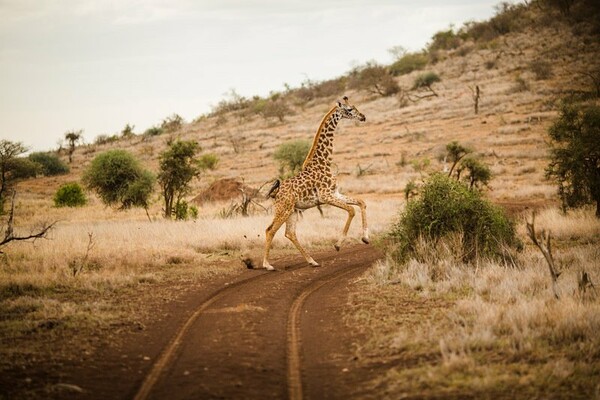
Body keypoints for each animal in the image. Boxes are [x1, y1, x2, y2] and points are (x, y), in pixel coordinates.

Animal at [264, 97, 368, 272]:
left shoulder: (334, 193)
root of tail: (276, 192)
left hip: (292, 211)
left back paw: (312, 261)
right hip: (283, 210)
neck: (324, 162)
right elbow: (351, 210)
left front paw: (366, 238)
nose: (363, 117)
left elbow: (361, 202)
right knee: (270, 230)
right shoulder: (326, 196)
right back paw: (267, 265)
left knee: (289, 233)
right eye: (349, 109)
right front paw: (338, 245)